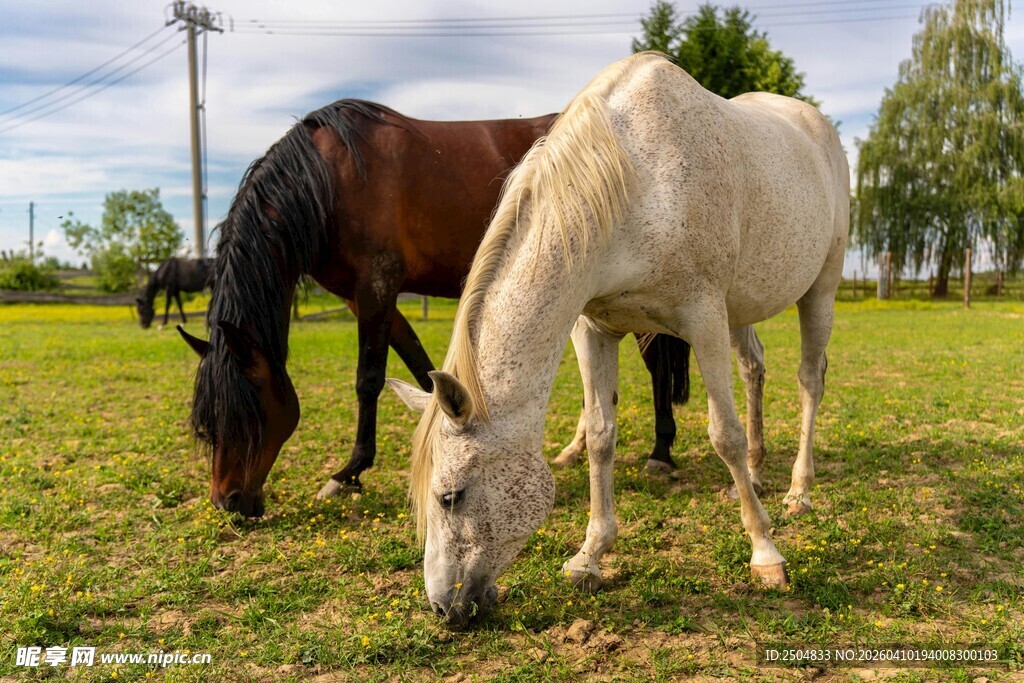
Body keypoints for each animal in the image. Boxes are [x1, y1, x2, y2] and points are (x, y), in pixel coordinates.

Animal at [174, 98, 698, 517]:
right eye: (207, 423)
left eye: (246, 413)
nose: (228, 502)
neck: (329, 181)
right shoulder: (366, 296)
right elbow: (422, 368)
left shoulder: (377, 285)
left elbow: (368, 379)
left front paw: (348, 473)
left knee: (655, 361)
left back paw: (660, 452)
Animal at [388, 53, 849, 629]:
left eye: (450, 496)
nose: (442, 608)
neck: (636, 182)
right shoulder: (595, 329)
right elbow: (601, 436)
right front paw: (589, 557)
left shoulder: (703, 317)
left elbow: (724, 435)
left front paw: (765, 554)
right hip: (742, 310)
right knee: (754, 369)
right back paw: (760, 474)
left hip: (819, 290)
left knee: (810, 381)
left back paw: (798, 491)